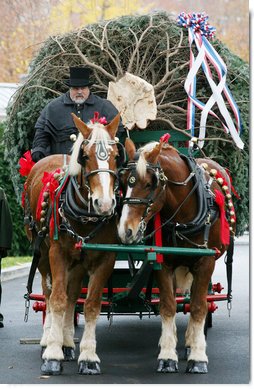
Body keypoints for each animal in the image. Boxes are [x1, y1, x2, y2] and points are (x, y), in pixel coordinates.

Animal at [24, 111, 121, 372]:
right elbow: (57, 299)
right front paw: (52, 354)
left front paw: (88, 356)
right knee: (49, 292)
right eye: (85, 156)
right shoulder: (57, 254)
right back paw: (49, 338)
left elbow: (90, 304)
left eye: (116, 156)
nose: (104, 204)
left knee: (73, 294)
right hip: (43, 253)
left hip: (78, 262)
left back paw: (67, 342)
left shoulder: (105, 258)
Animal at [118, 136, 235, 372]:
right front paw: (167, 355)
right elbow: (168, 306)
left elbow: (198, 307)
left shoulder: (205, 263)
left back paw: (191, 342)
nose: (126, 231)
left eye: (149, 183)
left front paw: (197, 357)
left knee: (195, 300)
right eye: (124, 182)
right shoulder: (164, 263)